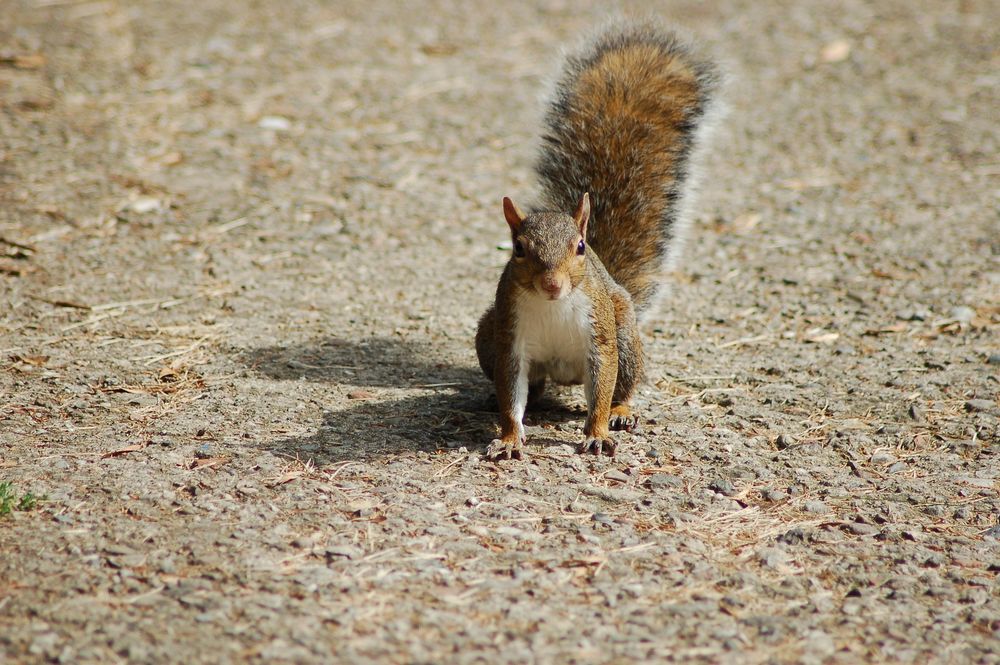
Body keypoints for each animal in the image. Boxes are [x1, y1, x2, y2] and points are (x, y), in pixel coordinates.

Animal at [475, 21, 720, 460]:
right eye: (518, 249)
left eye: (579, 248)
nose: (552, 285)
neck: (552, 306)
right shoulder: (511, 341)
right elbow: (511, 392)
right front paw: (508, 437)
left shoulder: (601, 338)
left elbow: (602, 387)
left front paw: (598, 433)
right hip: (488, 332)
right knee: (532, 388)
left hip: (625, 333)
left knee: (622, 384)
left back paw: (622, 413)